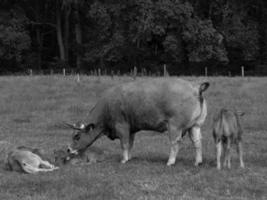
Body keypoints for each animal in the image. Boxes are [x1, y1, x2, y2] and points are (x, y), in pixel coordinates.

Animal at [66, 78, 209, 166]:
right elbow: (130, 144)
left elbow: (124, 144)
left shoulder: (122, 126)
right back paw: (198, 162)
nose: (68, 149)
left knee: (175, 143)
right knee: (197, 142)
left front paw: (124, 160)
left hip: (174, 126)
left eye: (77, 136)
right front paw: (129, 157)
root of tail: (195, 87)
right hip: (195, 126)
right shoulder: (131, 129)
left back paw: (170, 161)